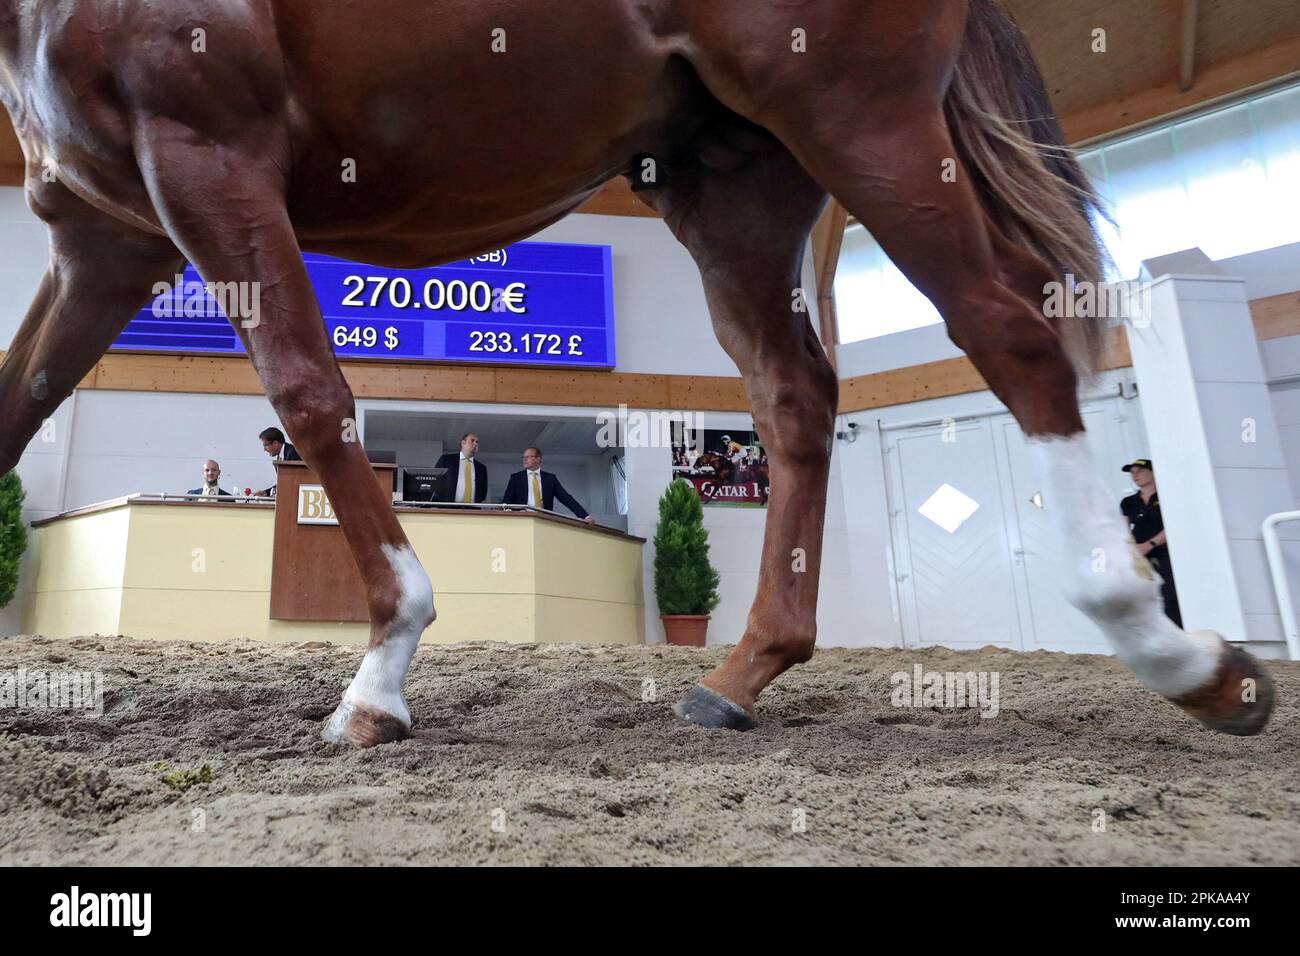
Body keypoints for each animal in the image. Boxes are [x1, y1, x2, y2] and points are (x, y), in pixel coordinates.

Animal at [0, 0, 1273, 746]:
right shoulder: (104, 238)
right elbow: (16, 409)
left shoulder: (205, 161)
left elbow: (312, 394)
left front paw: (383, 672)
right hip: (736, 179)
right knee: (796, 396)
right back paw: (746, 671)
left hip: (858, 118)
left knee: (1007, 326)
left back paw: (1178, 653)